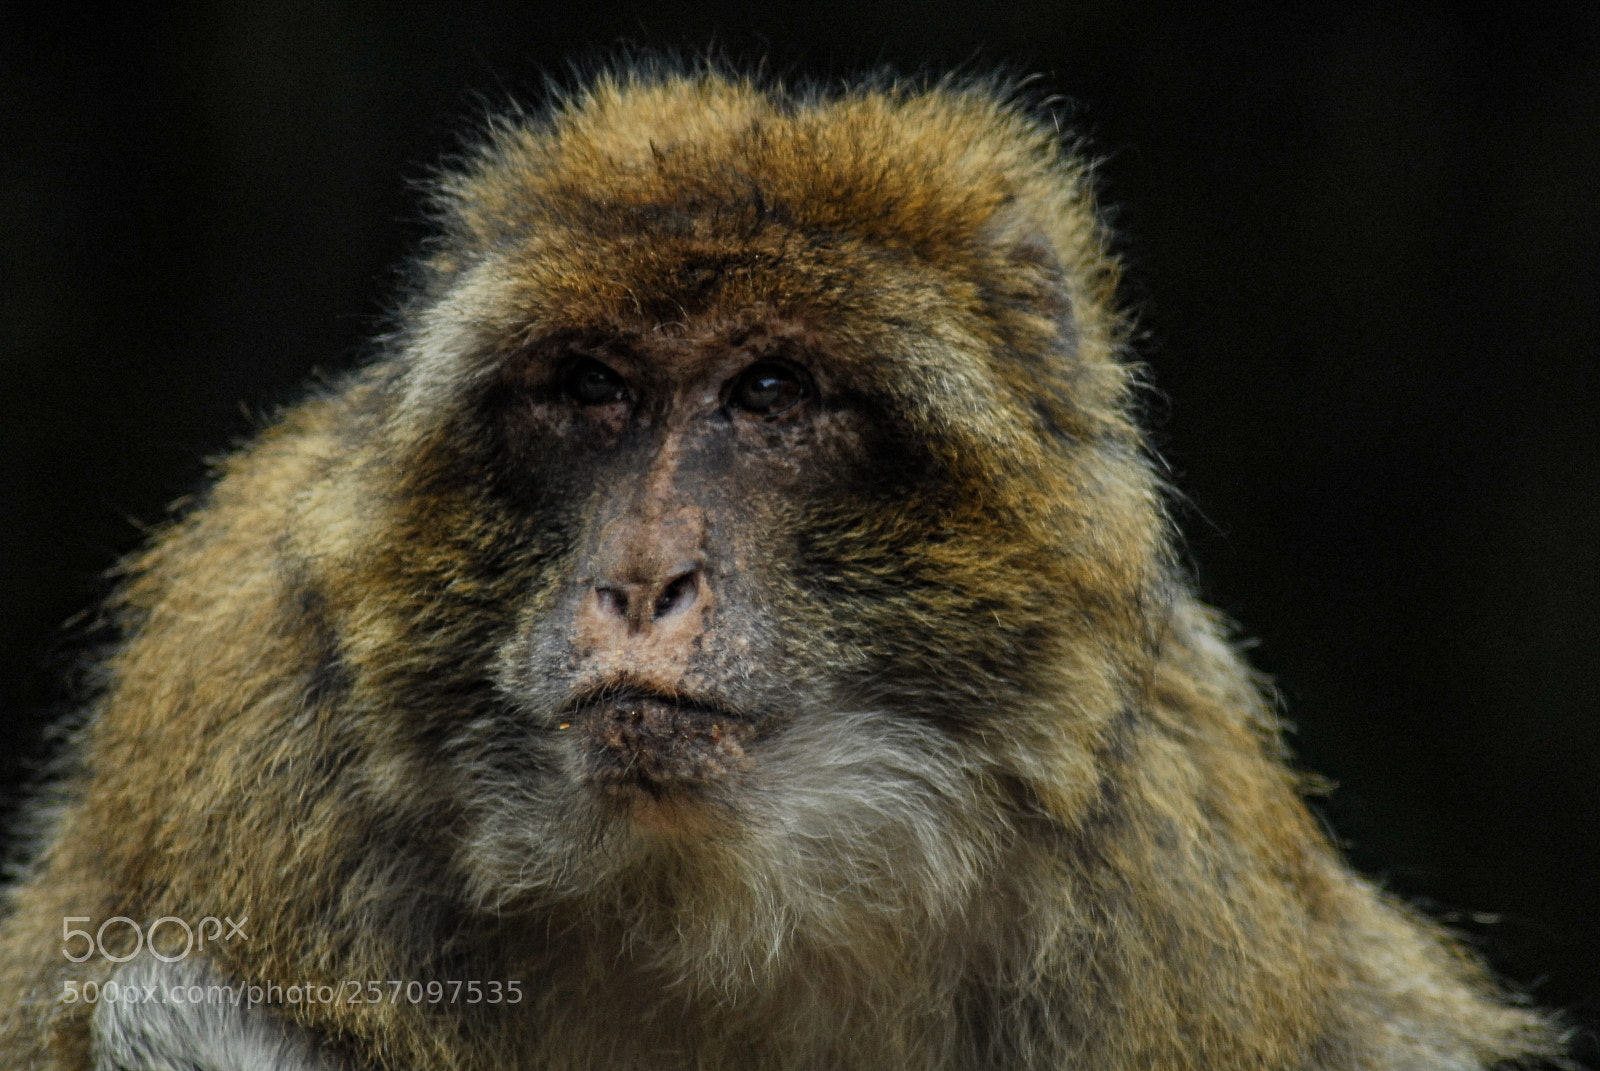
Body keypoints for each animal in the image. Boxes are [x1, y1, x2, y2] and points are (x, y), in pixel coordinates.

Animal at [0, 66, 1566, 1071]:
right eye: (590, 388)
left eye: (770, 392)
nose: (642, 581)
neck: (717, 897)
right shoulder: (249, 741)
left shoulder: (1169, 870)